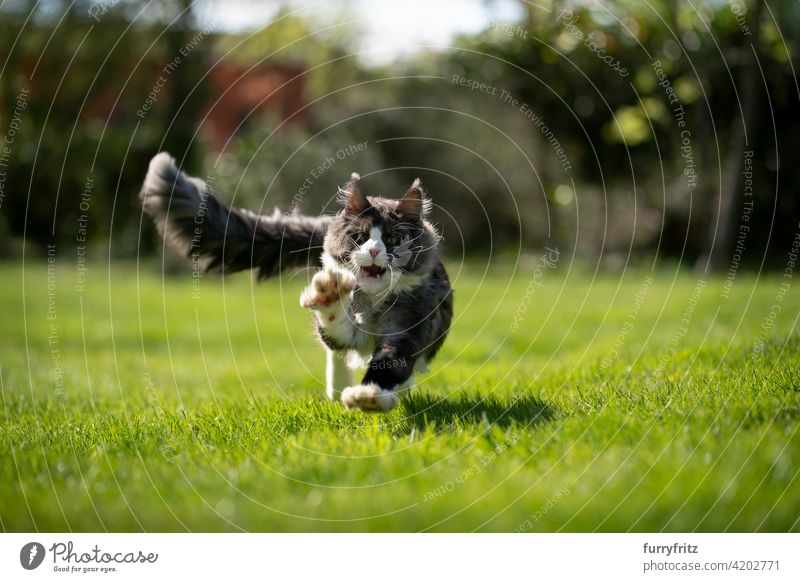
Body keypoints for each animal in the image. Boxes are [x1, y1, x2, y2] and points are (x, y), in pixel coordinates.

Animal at [141, 153, 454, 412]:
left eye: (391, 239)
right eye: (361, 238)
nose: (375, 251)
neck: (374, 304)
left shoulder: (406, 328)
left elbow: (389, 362)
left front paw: (370, 396)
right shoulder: (350, 329)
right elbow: (336, 330)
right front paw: (329, 297)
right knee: (336, 355)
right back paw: (338, 390)